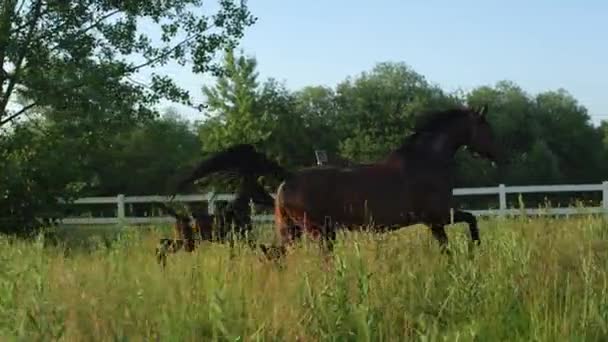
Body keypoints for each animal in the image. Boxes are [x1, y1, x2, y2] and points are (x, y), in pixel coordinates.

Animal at [175, 104, 498, 256]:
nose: (500, 155)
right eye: (486, 127)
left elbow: (450, 245)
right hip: (318, 232)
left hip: (295, 231)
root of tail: (289, 177)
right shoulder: (439, 216)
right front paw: (475, 252)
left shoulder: (435, 222)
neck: (426, 160)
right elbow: (471, 222)